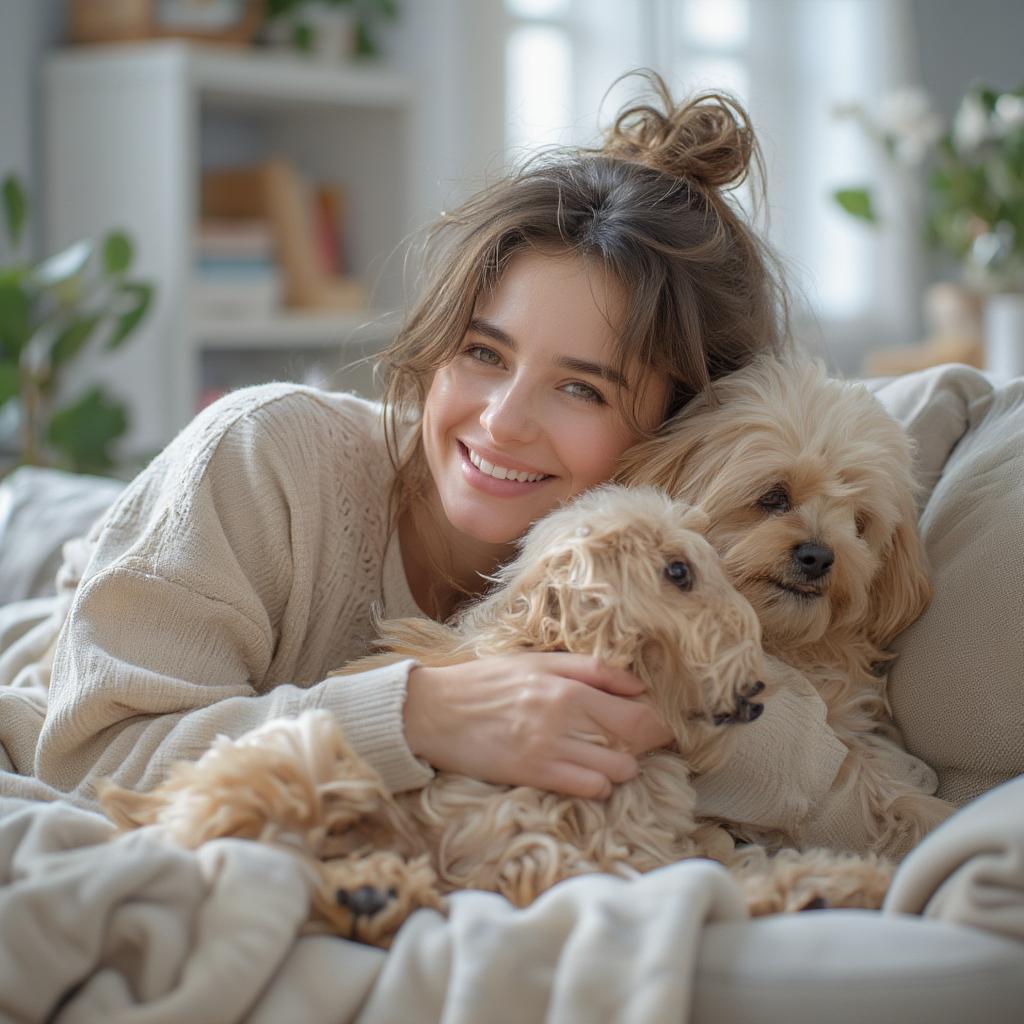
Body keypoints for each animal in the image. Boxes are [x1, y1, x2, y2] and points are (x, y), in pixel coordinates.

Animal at [99, 483, 892, 946]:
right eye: (678, 573)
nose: (758, 690)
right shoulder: (551, 855)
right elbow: (703, 876)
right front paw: (819, 885)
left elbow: (724, 861)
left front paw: (841, 882)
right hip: (326, 761)